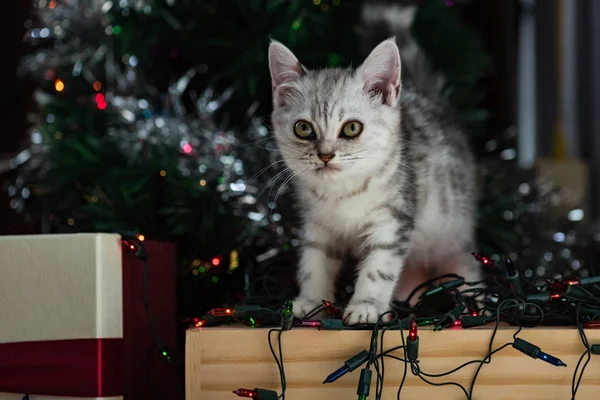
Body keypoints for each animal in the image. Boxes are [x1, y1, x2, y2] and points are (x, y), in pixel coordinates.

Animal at [270, 3, 480, 324]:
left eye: (351, 128)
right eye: (303, 129)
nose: (325, 155)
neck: (341, 194)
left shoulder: (392, 222)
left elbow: (378, 268)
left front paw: (365, 306)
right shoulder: (317, 225)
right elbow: (314, 262)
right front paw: (311, 301)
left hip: (453, 232)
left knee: (466, 270)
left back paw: (479, 306)